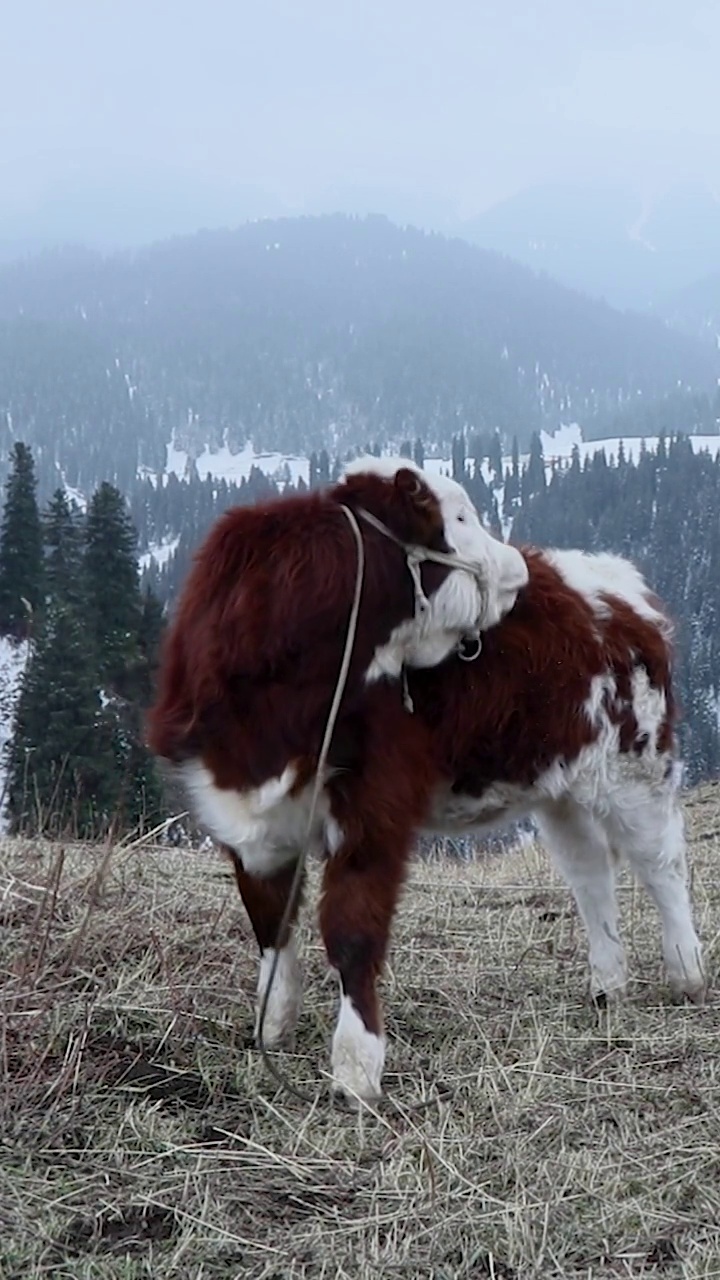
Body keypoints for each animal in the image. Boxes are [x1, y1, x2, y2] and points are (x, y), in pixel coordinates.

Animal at [147, 458, 527, 1100]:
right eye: (459, 517)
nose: (520, 570)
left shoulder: (374, 805)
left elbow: (352, 928)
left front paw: (355, 1067)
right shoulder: (240, 811)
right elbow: (269, 921)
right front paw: (273, 1026)